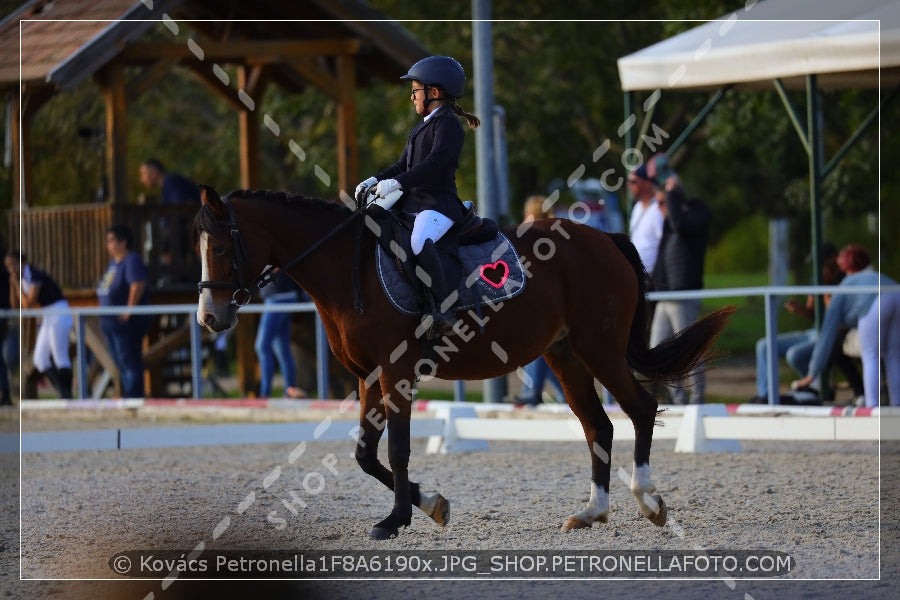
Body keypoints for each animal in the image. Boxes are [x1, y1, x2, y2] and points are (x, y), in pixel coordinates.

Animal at [193, 186, 736, 540]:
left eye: (218, 246)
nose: (209, 317)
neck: (350, 267)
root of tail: (605, 239)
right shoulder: (368, 376)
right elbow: (366, 455)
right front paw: (431, 505)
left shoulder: (397, 373)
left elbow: (397, 450)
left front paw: (397, 520)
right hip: (565, 355)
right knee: (598, 426)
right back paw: (590, 513)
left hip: (598, 348)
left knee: (640, 408)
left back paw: (649, 502)